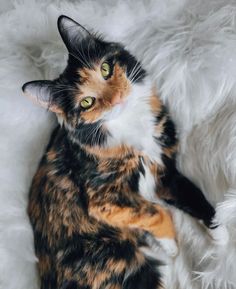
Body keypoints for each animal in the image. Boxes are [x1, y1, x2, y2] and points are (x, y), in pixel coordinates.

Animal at [23, 15, 224, 288]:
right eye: (87, 102)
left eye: (105, 69)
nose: (117, 97)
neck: (131, 122)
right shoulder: (104, 200)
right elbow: (155, 210)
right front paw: (171, 245)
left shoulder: (165, 170)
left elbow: (193, 194)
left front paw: (220, 233)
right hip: (129, 265)